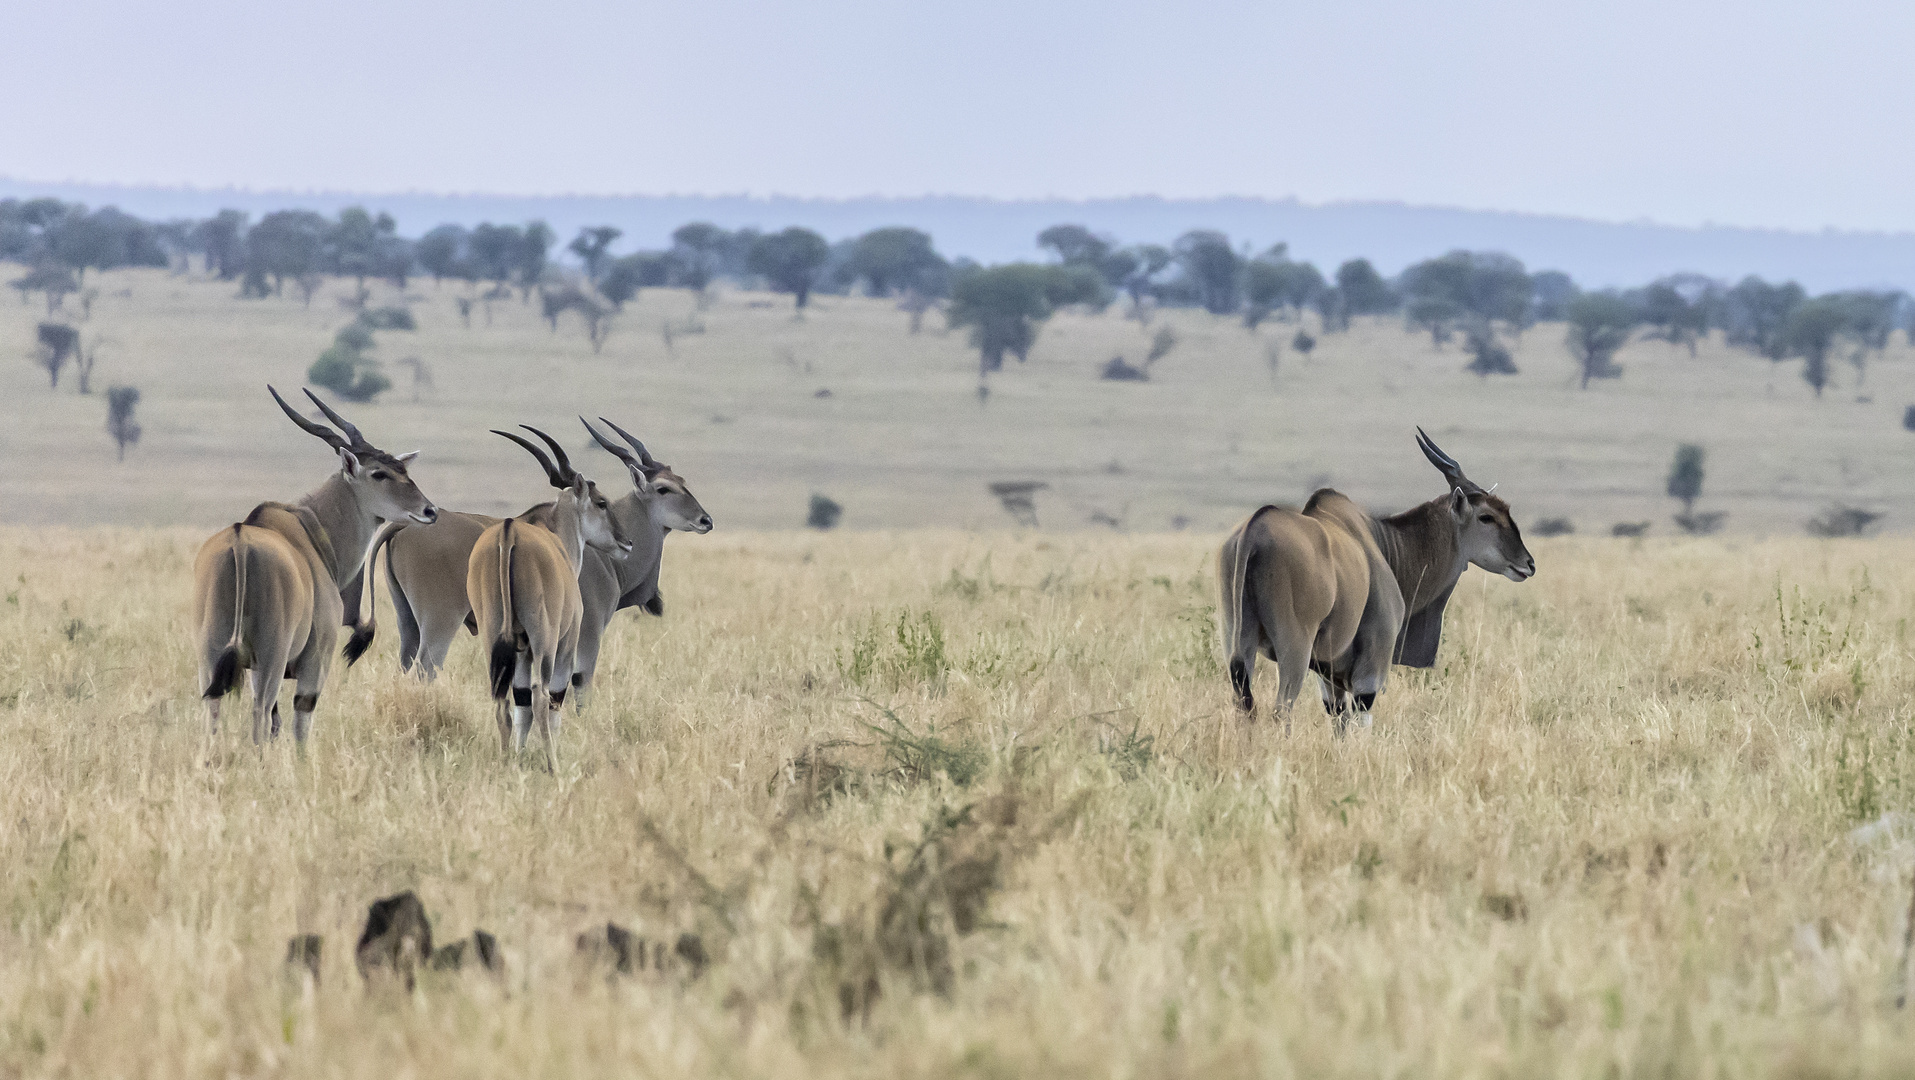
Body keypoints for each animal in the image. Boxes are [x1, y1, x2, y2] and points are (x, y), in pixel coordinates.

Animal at [192, 386, 436, 742]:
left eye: (404, 471)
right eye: (379, 473)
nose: (430, 510)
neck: (312, 529)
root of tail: (240, 544)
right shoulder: (313, 662)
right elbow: (300, 725)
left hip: (211, 657)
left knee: (213, 712)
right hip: (271, 658)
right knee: (260, 713)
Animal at [340, 417, 716, 697]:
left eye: (681, 481)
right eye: (664, 489)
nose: (706, 520)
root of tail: (400, 524)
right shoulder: (582, 633)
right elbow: (572, 687)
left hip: (408, 621)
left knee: (406, 667)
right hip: (440, 622)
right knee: (425, 669)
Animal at [465, 423, 631, 765]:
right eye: (602, 502)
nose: (627, 542)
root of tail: (509, 532)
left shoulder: (519, 650)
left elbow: (520, 705)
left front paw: (519, 755)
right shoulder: (565, 643)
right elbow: (553, 701)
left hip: (493, 636)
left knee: (502, 702)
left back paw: (505, 760)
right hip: (545, 640)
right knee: (543, 698)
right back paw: (553, 763)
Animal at [1217, 427, 1532, 731]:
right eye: (1487, 517)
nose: (1529, 564)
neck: (1383, 543)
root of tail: (1253, 532)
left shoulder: (1329, 676)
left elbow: (1340, 721)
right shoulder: (1372, 666)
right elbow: (1361, 721)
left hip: (1238, 646)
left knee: (1244, 706)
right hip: (1294, 649)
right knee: (1282, 708)